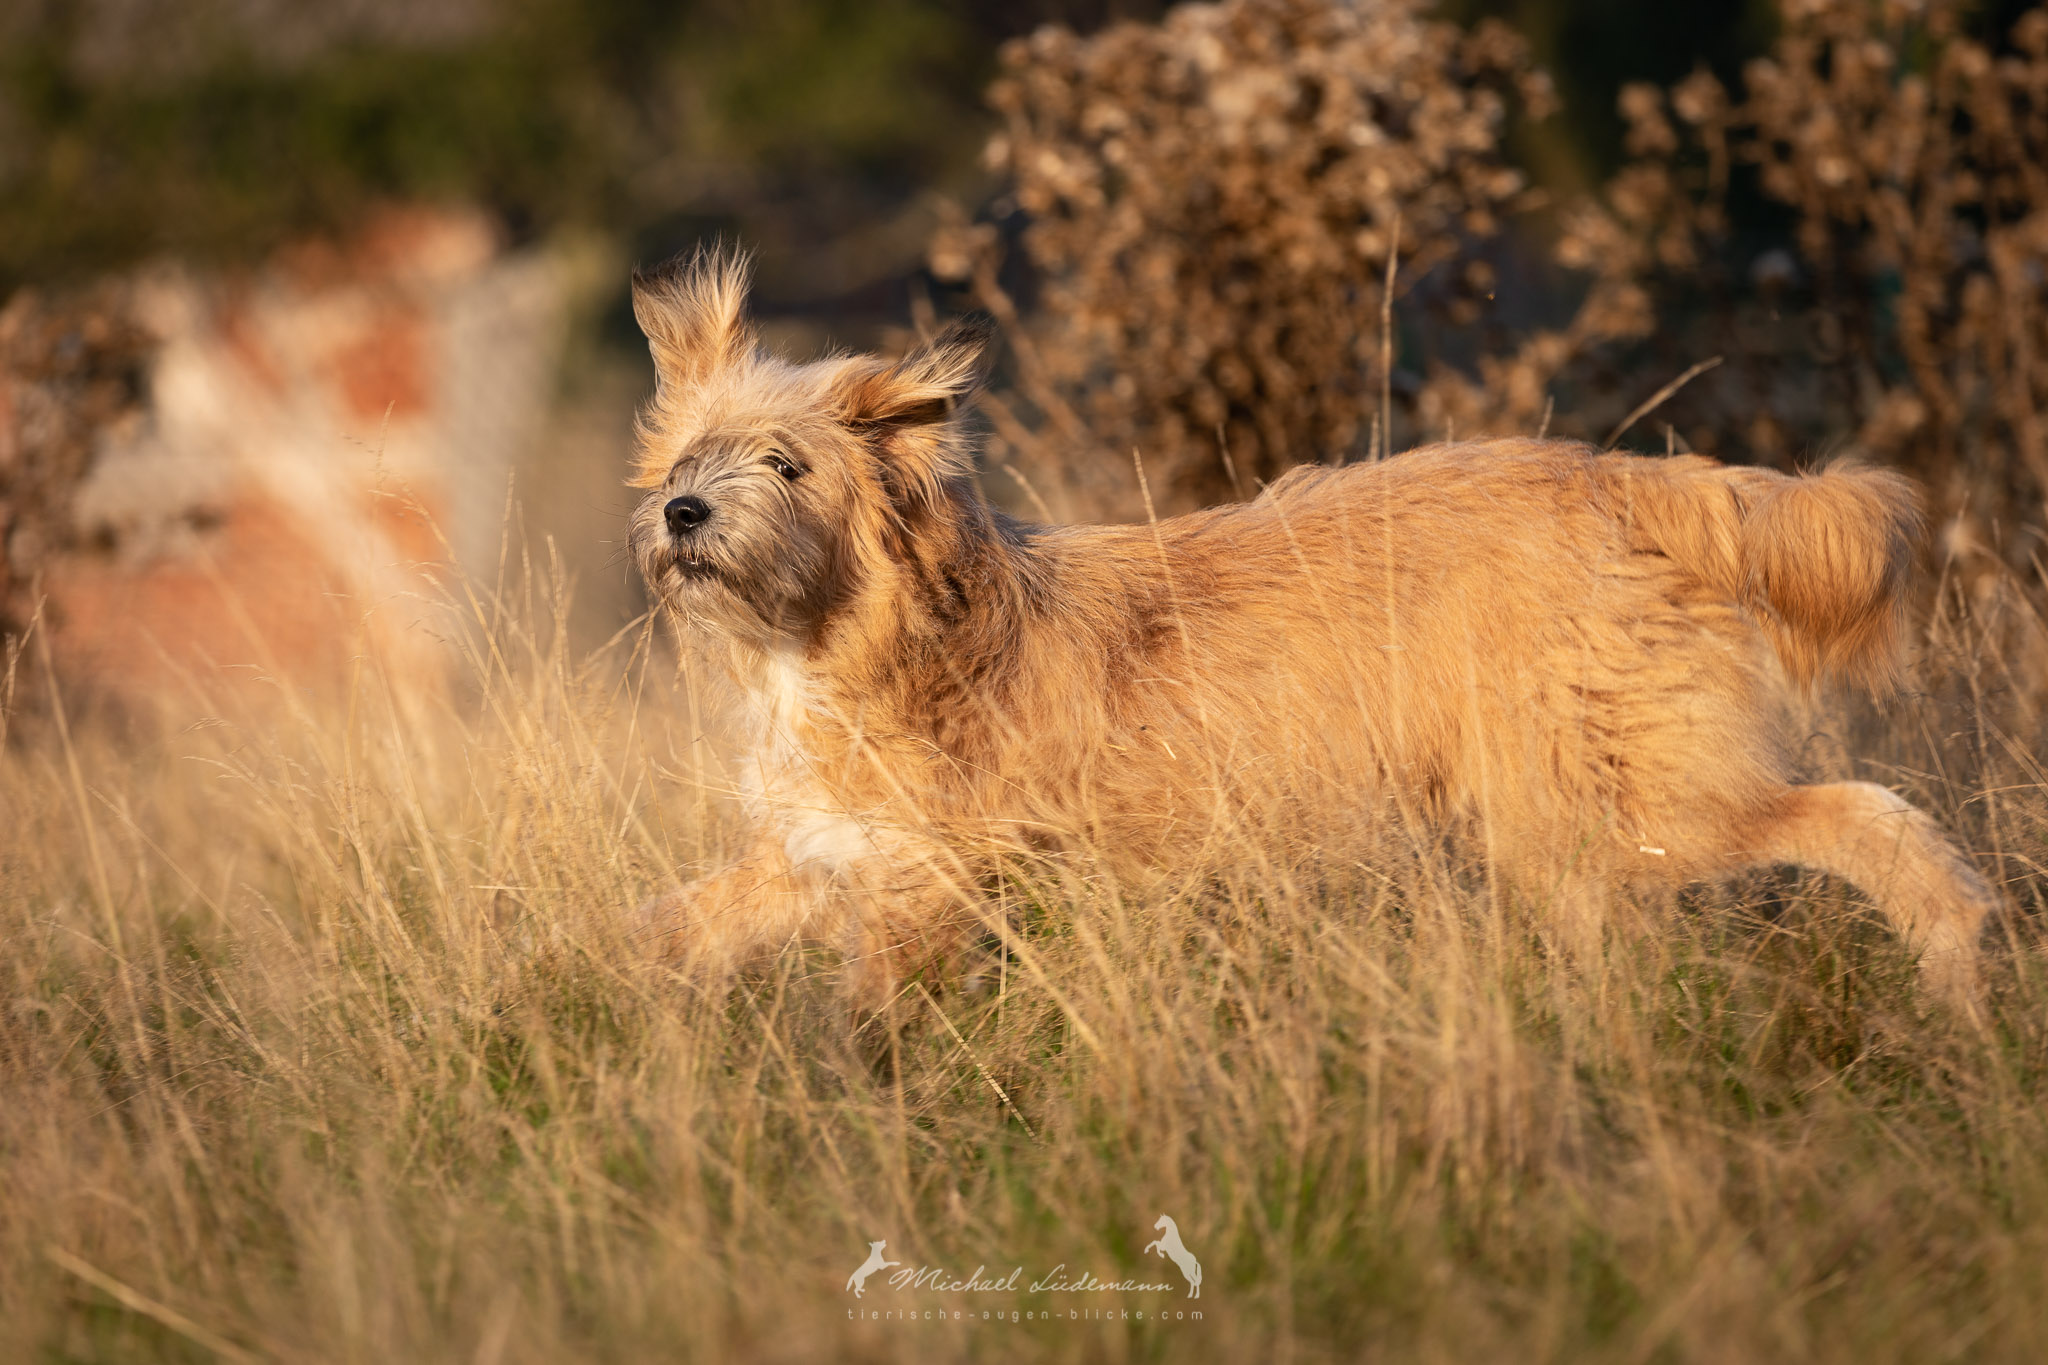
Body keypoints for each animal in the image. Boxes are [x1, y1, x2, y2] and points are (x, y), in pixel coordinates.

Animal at [626, 250, 1998, 1002]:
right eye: (692, 456)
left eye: (788, 466)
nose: (683, 512)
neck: (853, 637)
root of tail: (1635, 480)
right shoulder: (820, 860)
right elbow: (671, 928)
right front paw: (633, 1019)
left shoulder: (926, 885)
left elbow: (874, 1024)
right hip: (1567, 834)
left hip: (1626, 803)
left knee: (1868, 817)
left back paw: (1958, 976)